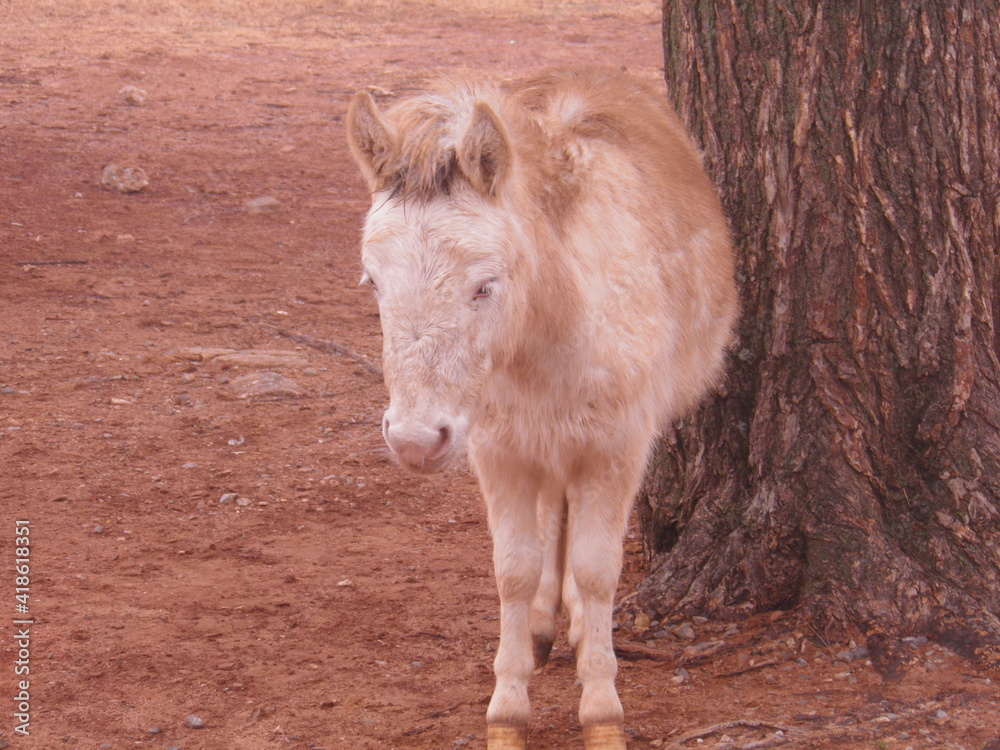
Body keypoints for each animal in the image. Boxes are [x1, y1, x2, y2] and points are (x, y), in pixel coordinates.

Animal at [346, 68, 737, 750]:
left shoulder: (615, 449)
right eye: (374, 281)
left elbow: (599, 568)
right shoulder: (498, 451)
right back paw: (545, 625)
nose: (415, 441)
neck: (555, 326)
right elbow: (514, 570)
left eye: (484, 284)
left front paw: (603, 712)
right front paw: (507, 709)